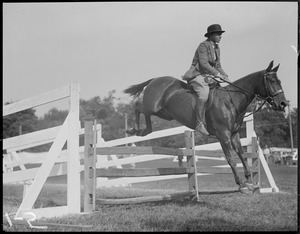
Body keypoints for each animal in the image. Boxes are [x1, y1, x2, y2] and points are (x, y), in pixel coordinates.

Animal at [123, 60, 288, 194]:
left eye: (279, 81)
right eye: (272, 80)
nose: (283, 104)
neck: (231, 100)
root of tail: (156, 79)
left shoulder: (234, 135)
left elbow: (241, 154)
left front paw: (248, 179)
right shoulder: (223, 135)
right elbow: (230, 158)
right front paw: (241, 183)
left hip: (164, 113)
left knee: (146, 116)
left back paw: (142, 131)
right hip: (153, 106)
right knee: (137, 106)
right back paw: (132, 129)